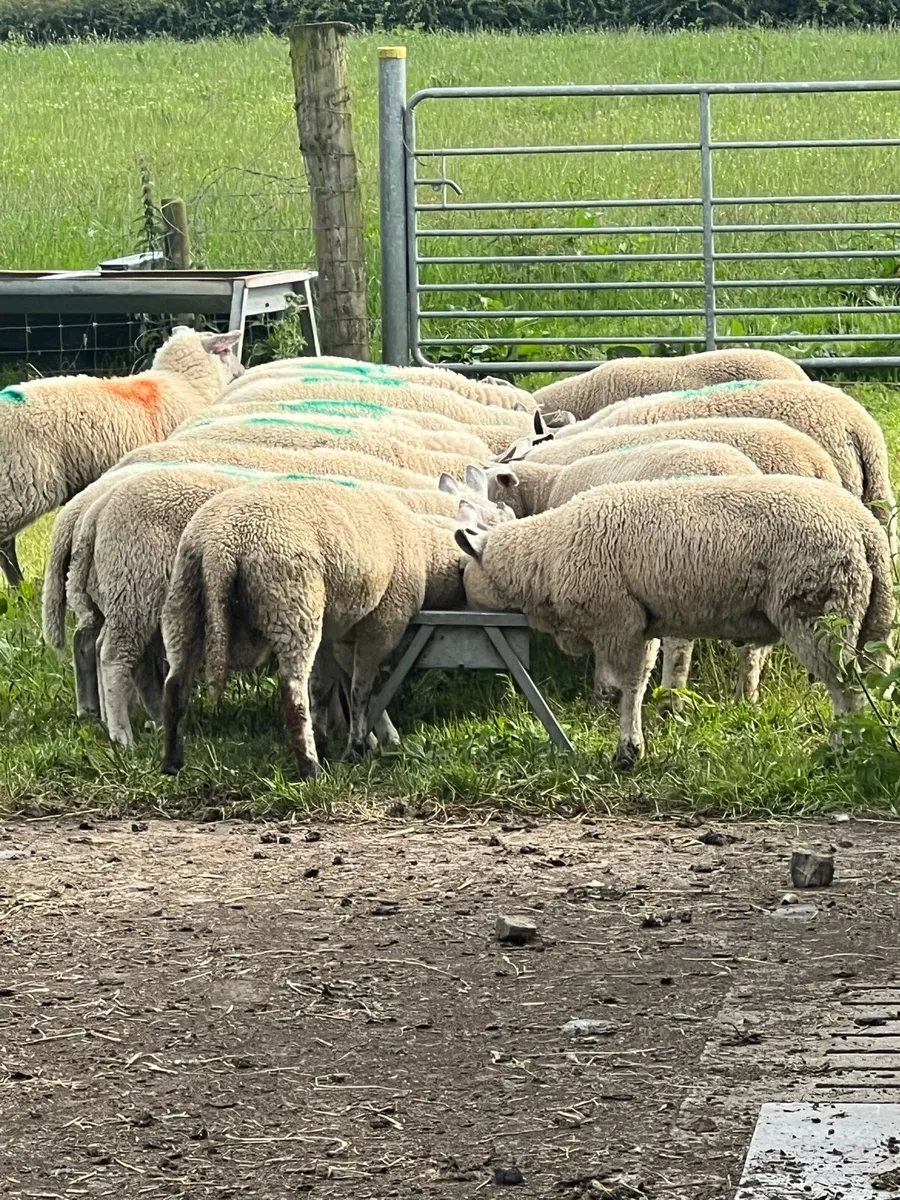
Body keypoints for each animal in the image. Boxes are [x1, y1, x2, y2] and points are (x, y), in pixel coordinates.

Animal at [159, 481, 469, 779]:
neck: (424, 551)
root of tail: (221, 545)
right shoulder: (380, 628)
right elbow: (360, 690)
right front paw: (356, 748)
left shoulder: (334, 635)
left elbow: (324, 689)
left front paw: (330, 742)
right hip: (292, 603)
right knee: (293, 695)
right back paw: (310, 768)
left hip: (184, 601)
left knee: (175, 685)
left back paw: (172, 764)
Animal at [455, 475, 894, 768]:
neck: (543, 558)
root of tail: (864, 529)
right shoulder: (642, 622)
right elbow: (642, 678)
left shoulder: (620, 621)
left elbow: (630, 686)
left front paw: (628, 749)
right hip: (874, 617)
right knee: (872, 684)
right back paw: (868, 744)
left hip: (819, 611)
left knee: (847, 689)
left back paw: (841, 751)